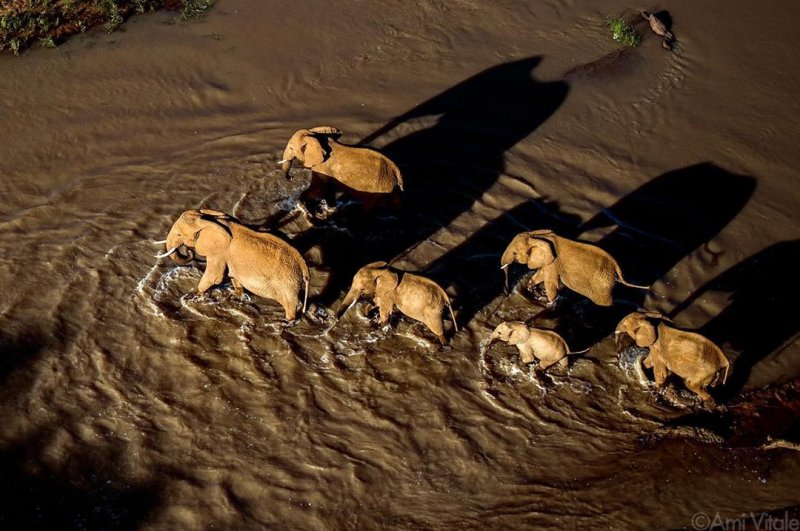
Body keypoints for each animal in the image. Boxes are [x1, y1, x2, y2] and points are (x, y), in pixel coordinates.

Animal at [156, 210, 310, 322]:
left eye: (179, 234)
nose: (189, 251)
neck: (212, 219)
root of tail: (304, 268)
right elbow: (234, 277)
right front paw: (240, 298)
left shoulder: (219, 251)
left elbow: (214, 277)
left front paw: (194, 297)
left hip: (286, 282)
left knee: (290, 305)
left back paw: (287, 321)